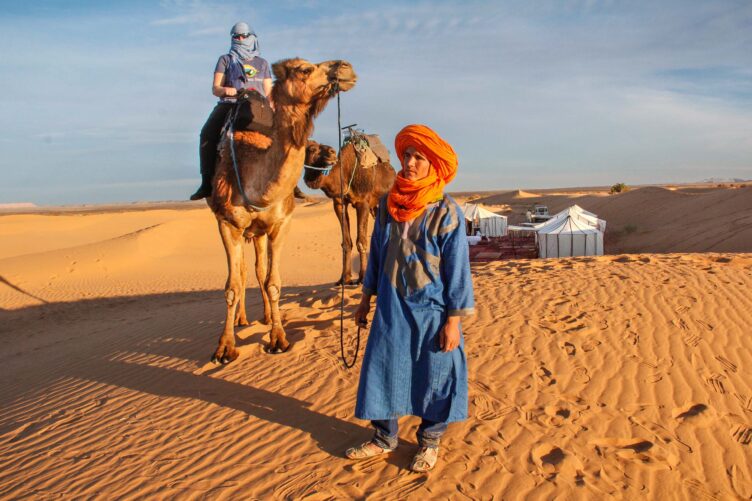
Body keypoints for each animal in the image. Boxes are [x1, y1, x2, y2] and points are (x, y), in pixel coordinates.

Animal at [207, 58, 356, 362]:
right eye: (305, 69)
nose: (346, 67)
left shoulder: (280, 224)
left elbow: (273, 282)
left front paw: (278, 338)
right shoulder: (227, 223)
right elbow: (231, 286)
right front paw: (225, 348)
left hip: (259, 233)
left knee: (258, 270)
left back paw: (264, 317)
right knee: (243, 272)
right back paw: (240, 319)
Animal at [302, 139, 396, 286]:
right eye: (311, 149)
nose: (332, 152)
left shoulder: (362, 202)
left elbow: (361, 242)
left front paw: (362, 278)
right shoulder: (339, 203)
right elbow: (346, 242)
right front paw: (344, 278)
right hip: (375, 207)